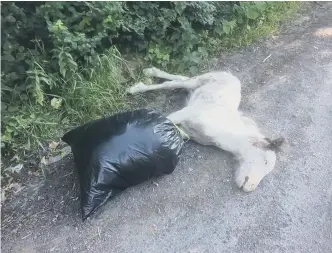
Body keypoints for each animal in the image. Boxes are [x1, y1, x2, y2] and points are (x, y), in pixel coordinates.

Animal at [128, 67, 284, 192]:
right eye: (265, 162)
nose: (250, 188)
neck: (223, 134)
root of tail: (230, 75)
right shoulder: (186, 113)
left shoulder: (187, 129)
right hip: (198, 81)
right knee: (173, 83)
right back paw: (137, 86)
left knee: (180, 78)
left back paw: (150, 72)